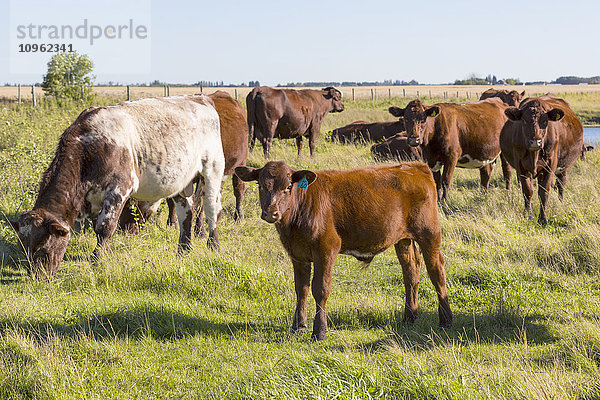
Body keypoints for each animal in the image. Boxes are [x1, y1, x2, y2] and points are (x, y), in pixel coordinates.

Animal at [9, 95, 225, 280]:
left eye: (43, 248)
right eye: (23, 249)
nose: (37, 278)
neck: (89, 148)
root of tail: (200, 98)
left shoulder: (119, 190)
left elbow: (104, 227)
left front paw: (97, 261)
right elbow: (99, 227)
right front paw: (104, 253)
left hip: (212, 170)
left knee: (211, 209)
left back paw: (213, 246)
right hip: (182, 181)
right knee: (186, 213)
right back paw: (183, 251)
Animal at [118, 90, 250, 234]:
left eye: (130, 202)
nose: (122, 228)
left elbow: (199, 203)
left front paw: (200, 230)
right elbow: (172, 201)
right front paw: (172, 224)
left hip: (240, 165)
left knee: (238, 189)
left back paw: (239, 216)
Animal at [234, 160, 450, 340]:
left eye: (288, 187)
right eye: (261, 186)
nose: (271, 213)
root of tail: (415, 166)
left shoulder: (327, 248)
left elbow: (320, 289)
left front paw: (319, 331)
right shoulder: (297, 255)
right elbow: (301, 290)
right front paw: (298, 328)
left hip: (429, 233)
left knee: (437, 270)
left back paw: (445, 319)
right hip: (403, 239)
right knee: (411, 270)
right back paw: (409, 317)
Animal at [500, 94, 584, 225]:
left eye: (545, 121)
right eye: (524, 121)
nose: (535, 141)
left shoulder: (550, 166)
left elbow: (544, 192)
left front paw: (543, 218)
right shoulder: (521, 167)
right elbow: (528, 191)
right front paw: (528, 215)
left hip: (562, 167)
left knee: (561, 184)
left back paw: (561, 202)